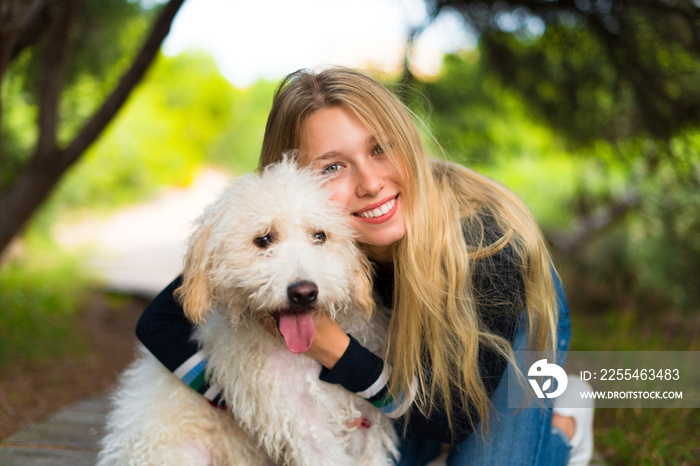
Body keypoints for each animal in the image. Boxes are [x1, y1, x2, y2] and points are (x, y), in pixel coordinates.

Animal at [97, 159, 400, 466]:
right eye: (263, 239)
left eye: (320, 236)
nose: (304, 292)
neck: (306, 360)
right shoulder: (306, 428)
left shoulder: (364, 426)